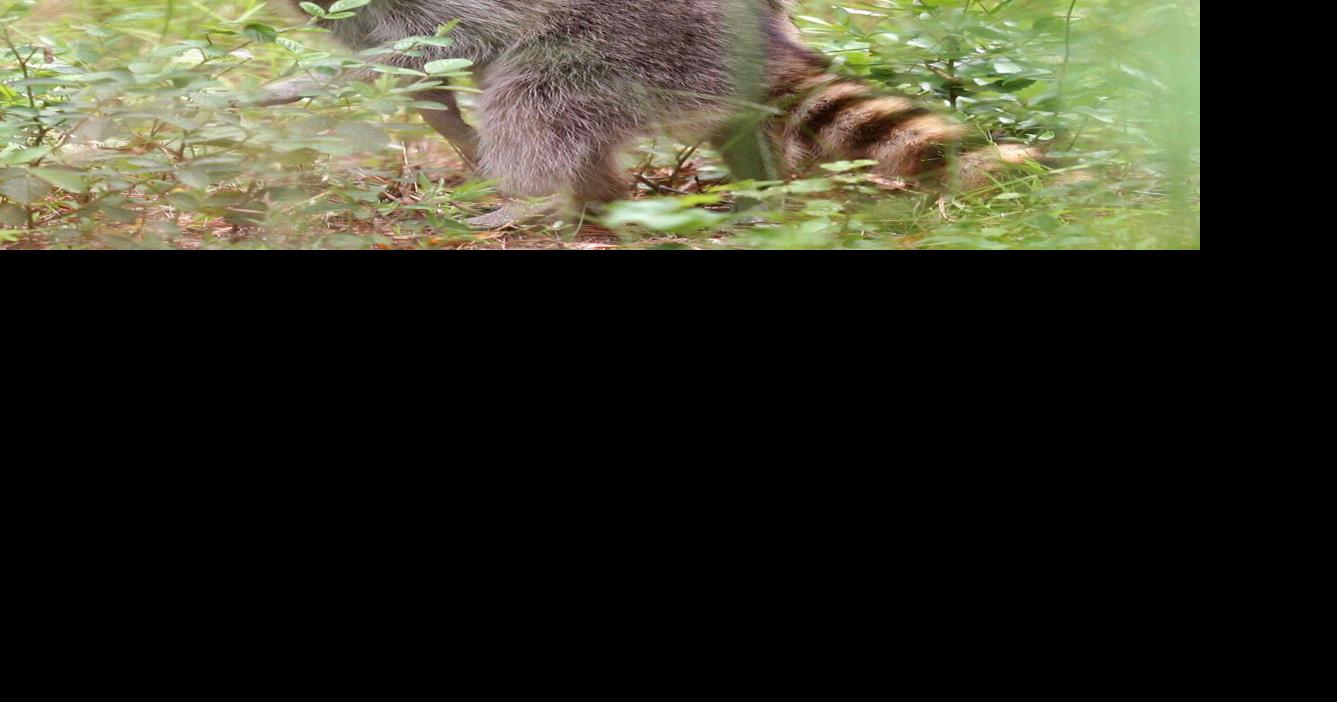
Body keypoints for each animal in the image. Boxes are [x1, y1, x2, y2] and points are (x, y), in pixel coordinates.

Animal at [272, 0, 1038, 224]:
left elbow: (442, 46)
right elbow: (415, 75)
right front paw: (446, 128)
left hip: (624, 40)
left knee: (531, 100)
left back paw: (534, 198)